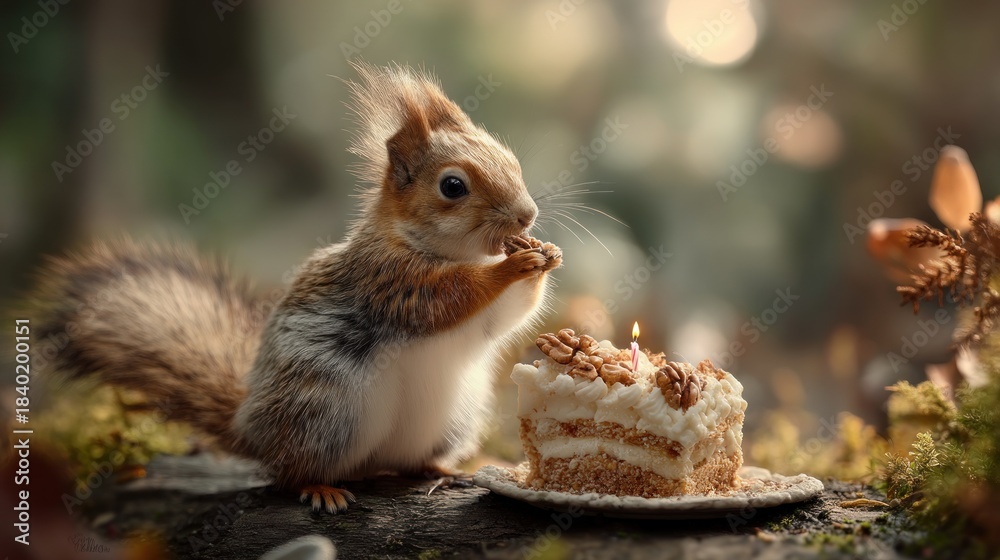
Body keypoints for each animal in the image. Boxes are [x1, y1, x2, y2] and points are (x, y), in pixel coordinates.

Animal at [31, 62, 562, 513]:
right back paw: (320, 487)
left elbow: (502, 318)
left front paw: (545, 256)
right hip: (323, 413)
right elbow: (446, 300)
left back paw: (441, 469)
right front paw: (513, 266)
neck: (441, 249)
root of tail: (249, 432)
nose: (527, 215)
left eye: (510, 158)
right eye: (453, 187)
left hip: (449, 420)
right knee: (289, 473)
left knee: (406, 462)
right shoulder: (386, 280)